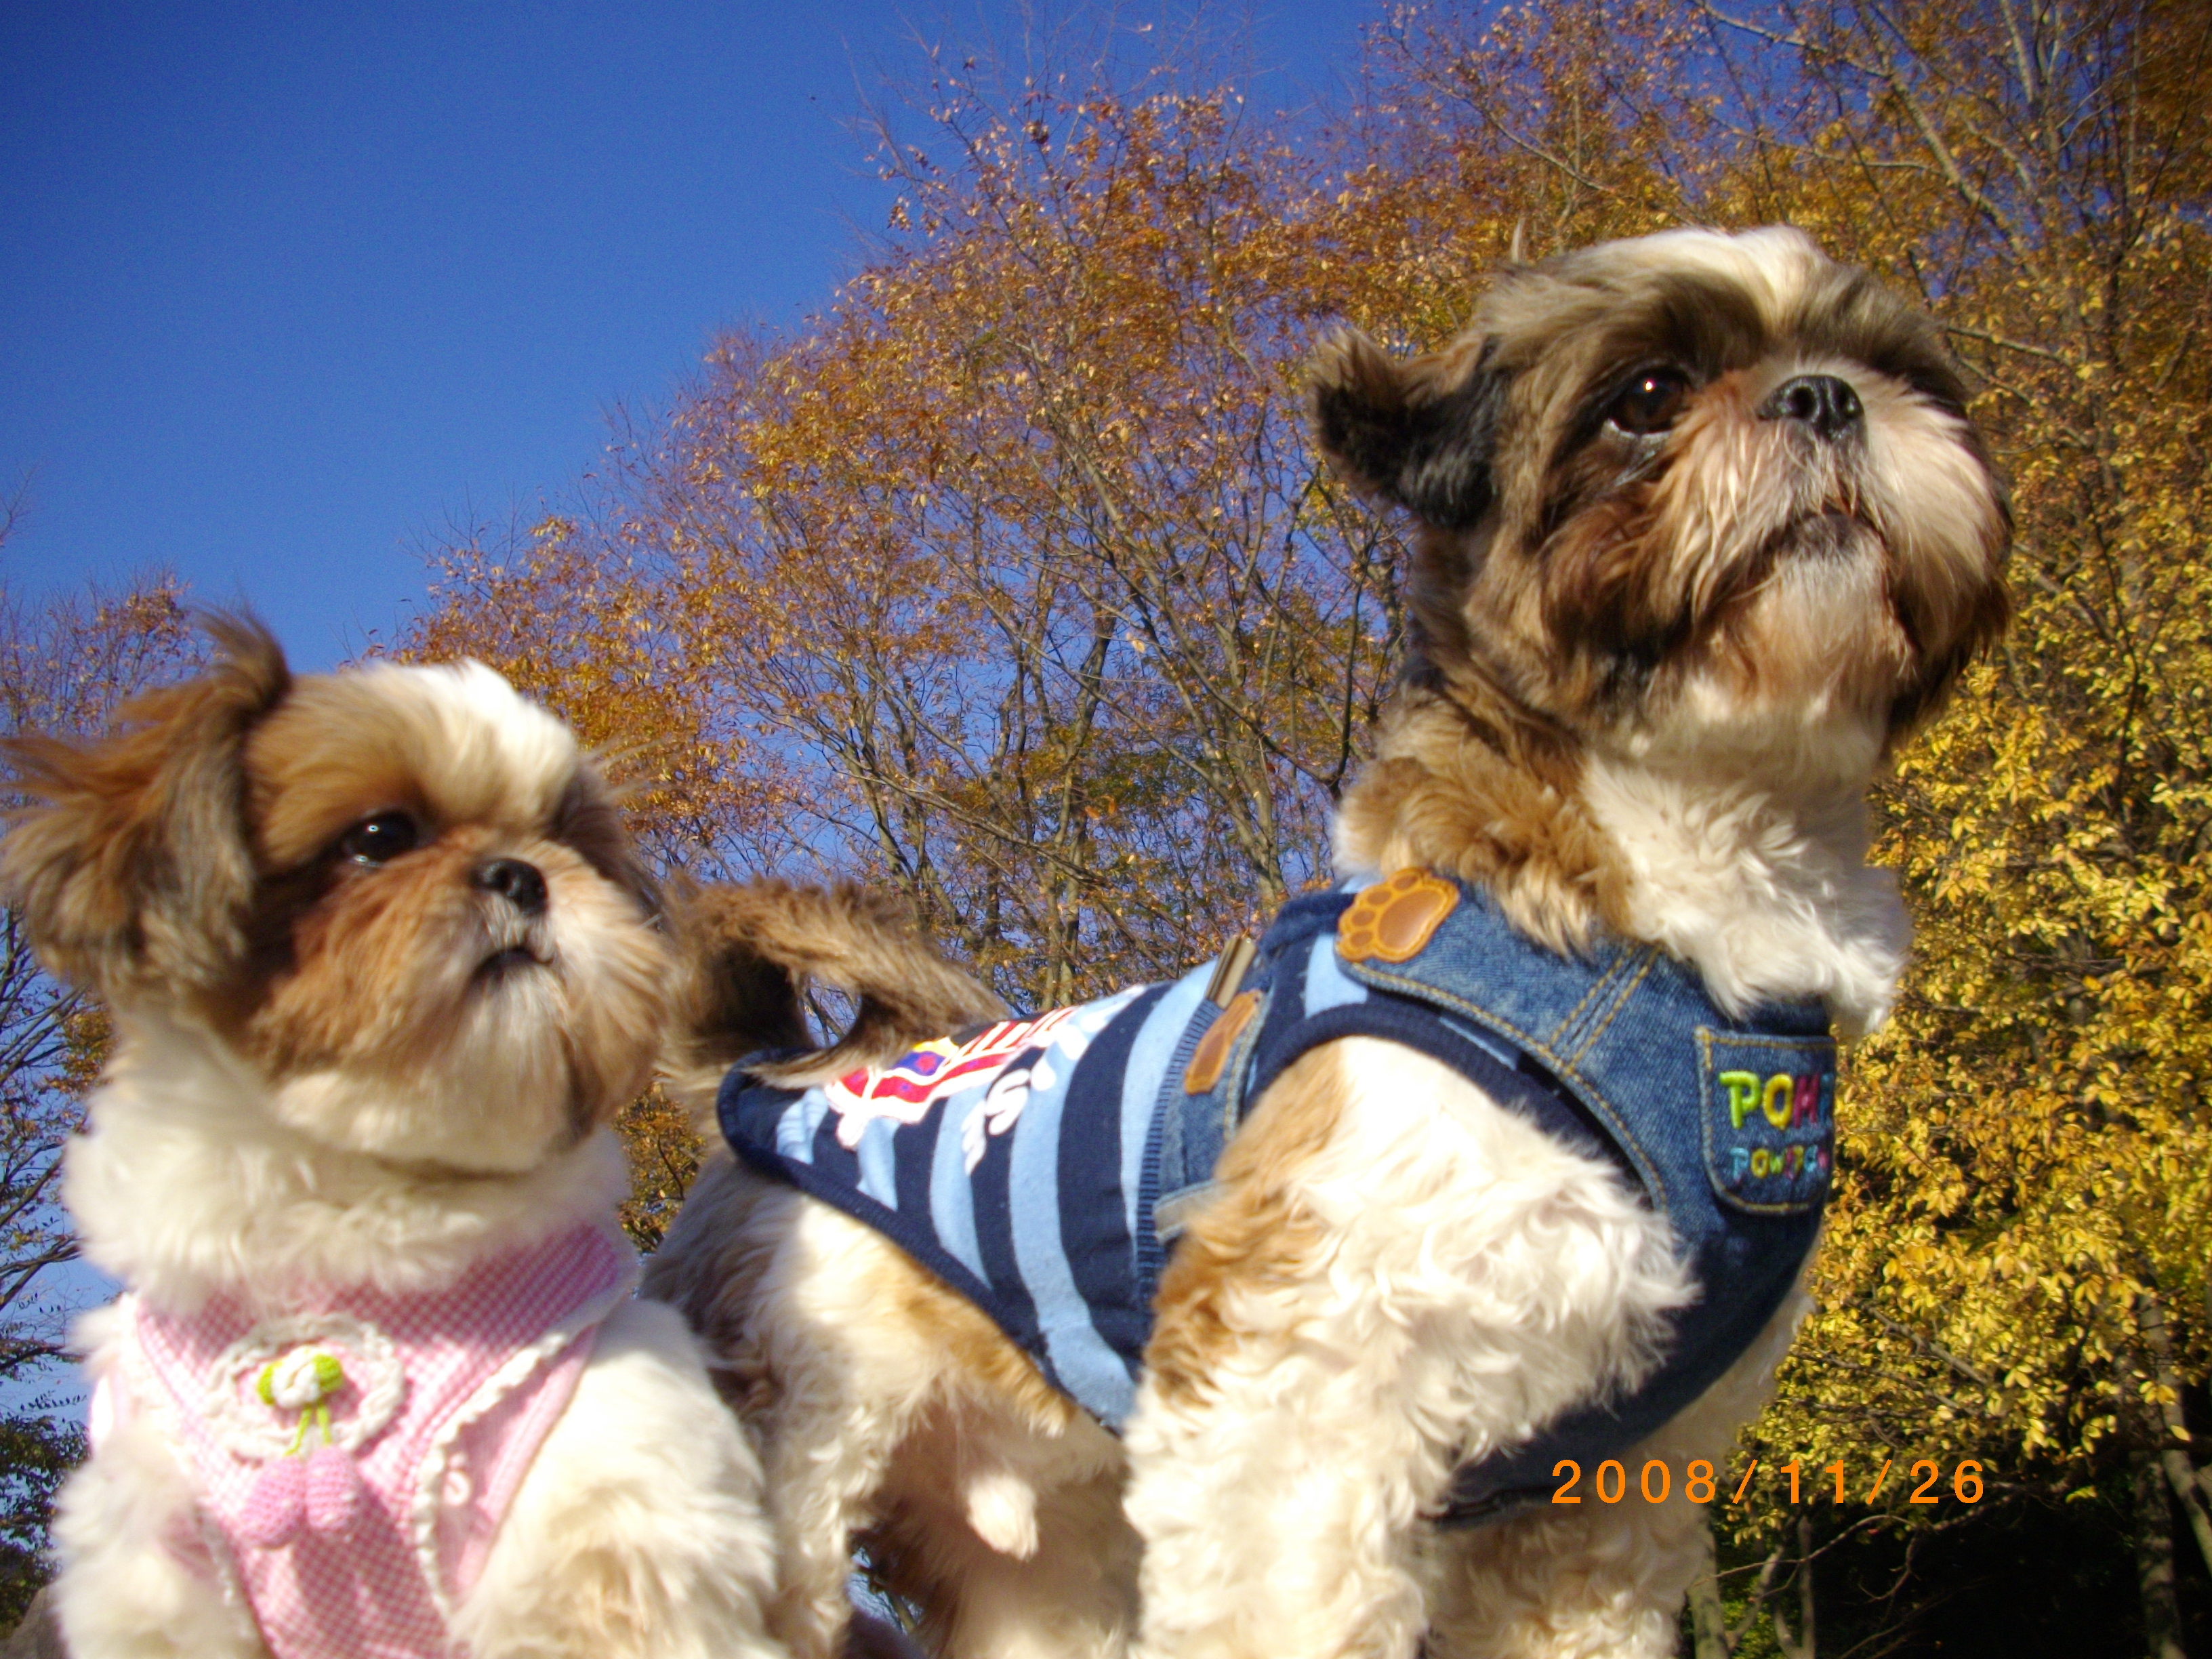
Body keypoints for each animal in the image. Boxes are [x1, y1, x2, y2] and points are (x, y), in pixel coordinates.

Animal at [4, 619, 783, 1659]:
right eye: (380, 838)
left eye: (572, 845)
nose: (522, 874)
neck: (358, 1212)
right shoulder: (164, 1583)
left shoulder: (610, 1524)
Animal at [646, 231, 2017, 1659]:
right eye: (1646, 393)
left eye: (1899, 372)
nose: (1822, 396)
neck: (1658, 939)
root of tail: (786, 1073)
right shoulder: (1290, 1397)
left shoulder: (1594, 1504)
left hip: (1037, 1567)